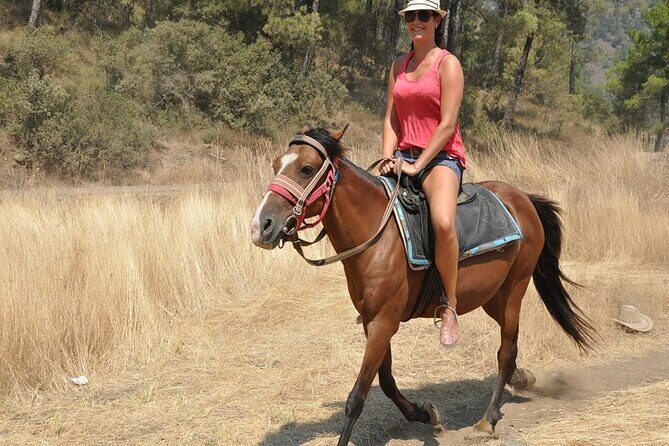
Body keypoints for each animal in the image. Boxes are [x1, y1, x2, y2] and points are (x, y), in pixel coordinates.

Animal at [250, 126, 595, 445]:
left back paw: (488, 420)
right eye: (276, 164)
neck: (378, 235)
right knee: (512, 347)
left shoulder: (384, 322)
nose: (261, 226)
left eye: (307, 169)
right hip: (492, 298)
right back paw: (521, 380)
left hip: (514, 289)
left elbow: (357, 397)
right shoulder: (374, 321)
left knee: (505, 351)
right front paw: (427, 414)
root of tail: (523, 199)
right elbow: (386, 381)